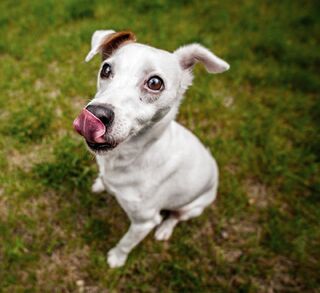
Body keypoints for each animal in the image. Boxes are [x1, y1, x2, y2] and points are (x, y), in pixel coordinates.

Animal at [73, 29, 228, 266]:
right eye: (106, 69)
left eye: (155, 83)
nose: (96, 113)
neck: (128, 157)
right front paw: (100, 184)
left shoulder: (143, 222)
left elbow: (126, 242)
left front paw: (116, 258)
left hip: (192, 207)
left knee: (175, 217)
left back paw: (165, 230)